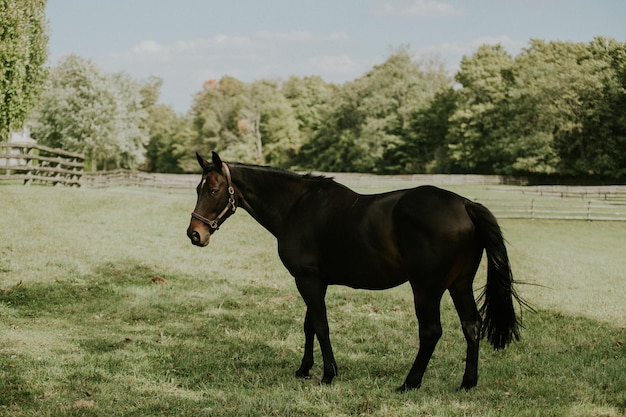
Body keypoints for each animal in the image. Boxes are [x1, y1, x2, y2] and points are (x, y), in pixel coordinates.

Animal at [185, 152, 520, 390]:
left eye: (213, 189)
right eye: (199, 189)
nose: (194, 234)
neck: (296, 207)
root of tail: (465, 204)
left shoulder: (307, 280)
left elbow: (321, 326)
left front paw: (328, 374)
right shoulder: (316, 281)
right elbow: (309, 325)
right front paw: (304, 369)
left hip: (426, 289)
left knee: (431, 331)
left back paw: (409, 383)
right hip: (459, 284)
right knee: (471, 325)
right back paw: (467, 382)